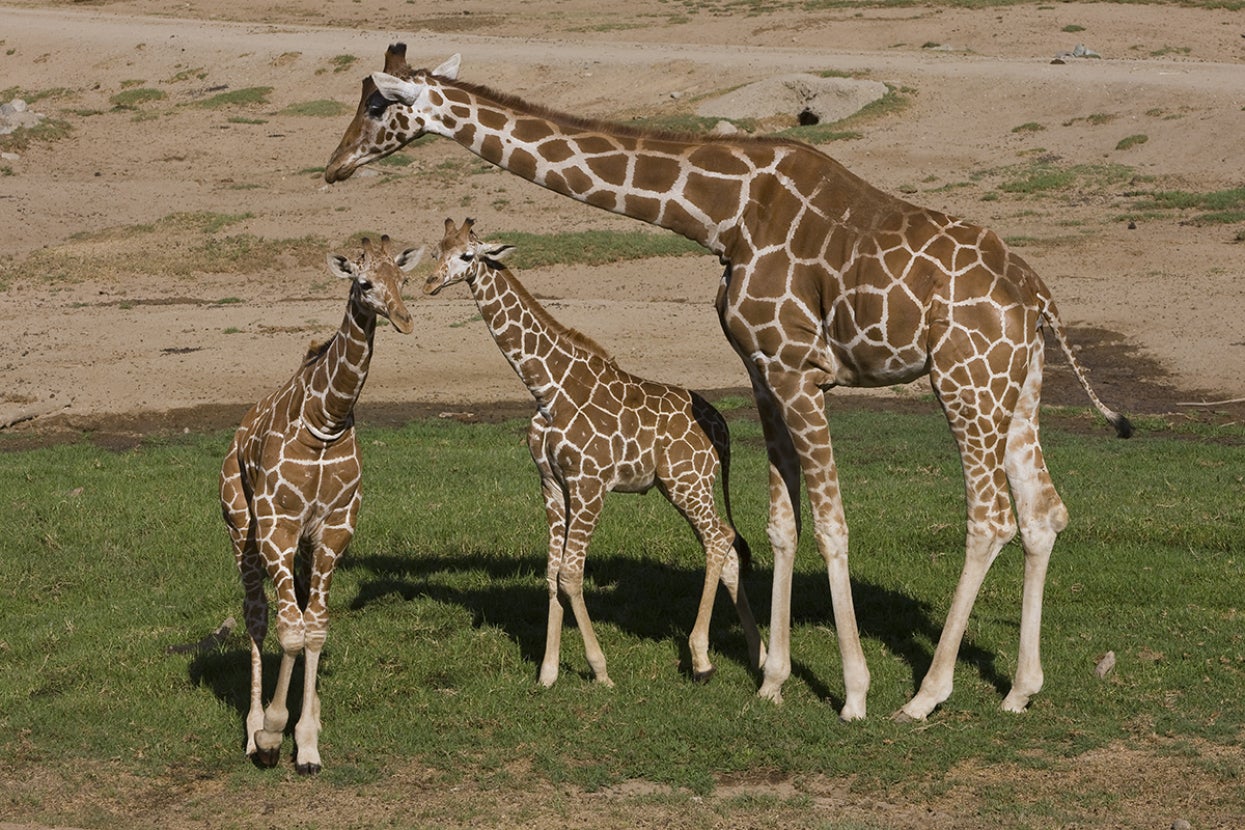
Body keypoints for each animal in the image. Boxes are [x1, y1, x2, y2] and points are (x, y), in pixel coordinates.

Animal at [219, 236, 422, 772]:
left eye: (404, 278)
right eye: (364, 282)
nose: (404, 318)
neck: (324, 420)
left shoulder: (333, 529)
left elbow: (315, 630)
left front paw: (307, 742)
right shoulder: (279, 525)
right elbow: (288, 631)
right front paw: (271, 734)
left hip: (304, 548)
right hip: (242, 530)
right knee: (256, 615)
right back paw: (252, 731)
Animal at [426, 216, 765, 686]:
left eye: (466, 254)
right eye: (435, 250)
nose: (429, 282)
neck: (548, 389)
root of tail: (723, 428)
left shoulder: (589, 484)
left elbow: (571, 573)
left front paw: (599, 670)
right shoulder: (552, 484)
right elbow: (551, 573)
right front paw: (547, 673)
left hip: (687, 482)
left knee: (719, 540)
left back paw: (701, 659)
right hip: (686, 485)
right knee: (727, 544)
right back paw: (759, 654)